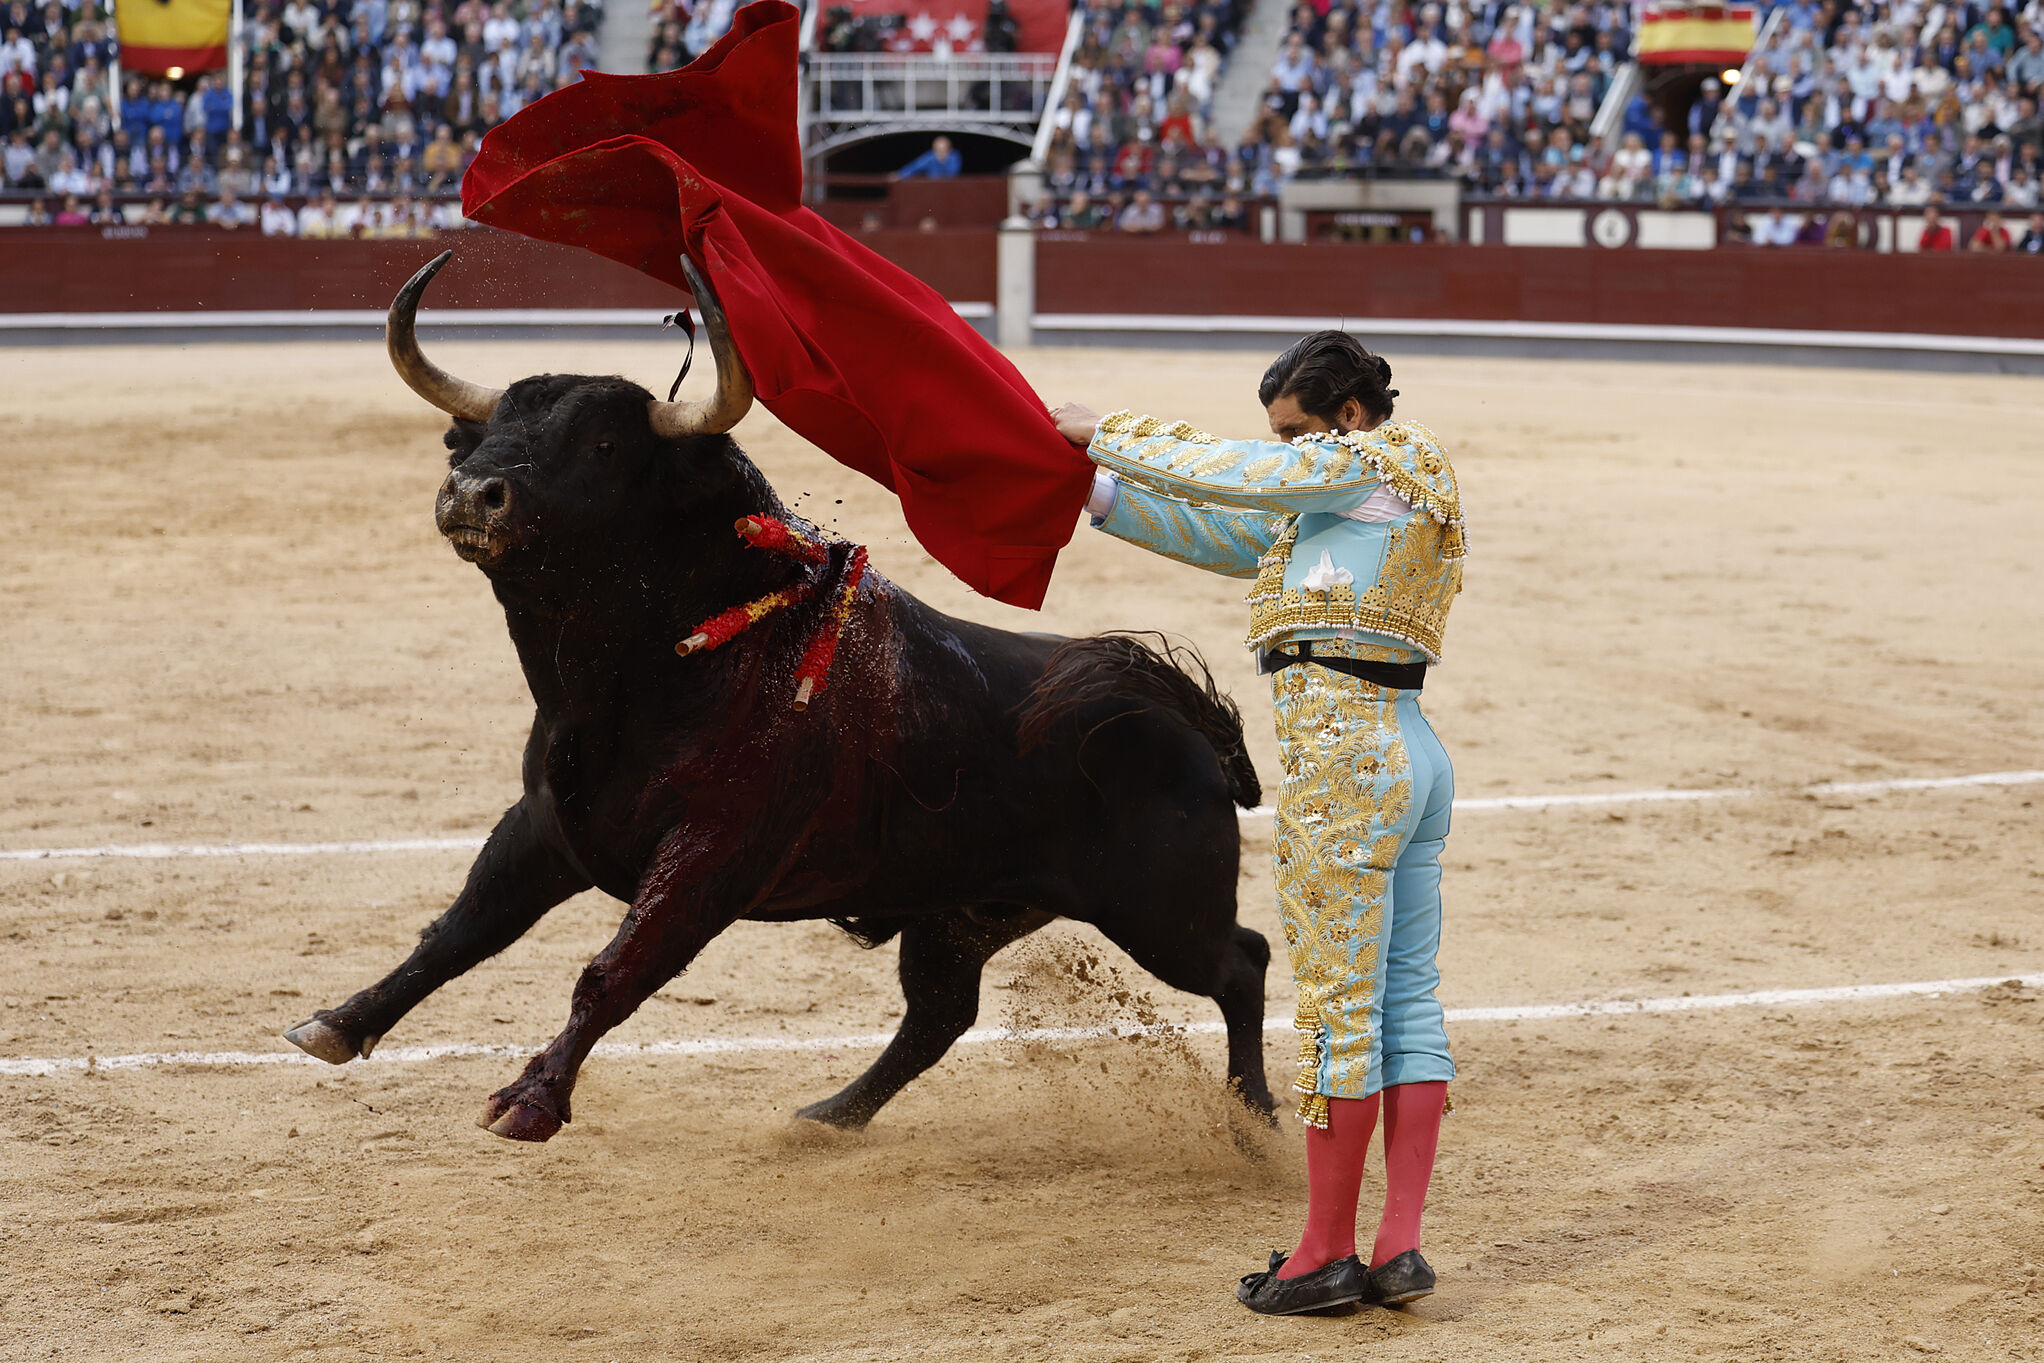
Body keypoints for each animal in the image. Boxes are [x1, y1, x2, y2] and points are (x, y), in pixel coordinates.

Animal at [284, 253, 1275, 1144]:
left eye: (604, 445)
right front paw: (336, 1023)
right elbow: (459, 930)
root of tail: (1185, 717)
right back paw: (828, 1116)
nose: (470, 492)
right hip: (960, 911)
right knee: (941, 1012)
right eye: (479, 435)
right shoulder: (547, 825)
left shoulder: (711, 855)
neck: (633, 681)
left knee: (1242, 962)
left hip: (1160, 911)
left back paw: (1255, 1120)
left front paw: (528, 1101)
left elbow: (612, 969)